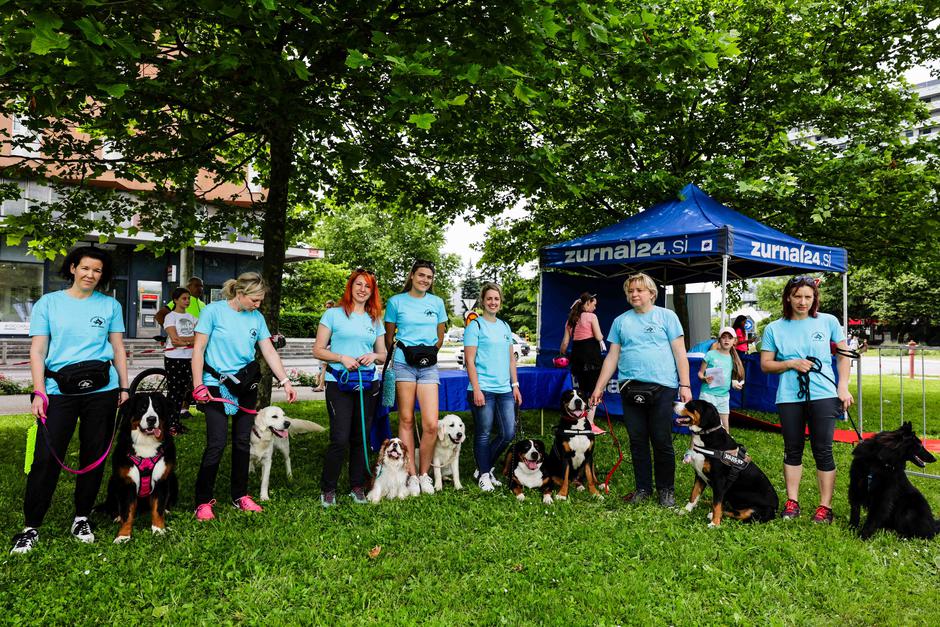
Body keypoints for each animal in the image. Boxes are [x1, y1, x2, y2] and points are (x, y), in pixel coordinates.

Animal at [98, 392, 178, 544]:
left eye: (157, 408)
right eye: (142, 408)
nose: (152, 419)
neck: (146, 444)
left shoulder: (161, 480)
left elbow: (158, 509)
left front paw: (159, 530)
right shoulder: (127, 483)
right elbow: (127, 512)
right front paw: (123, 536)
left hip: (173, 478)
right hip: (113, 481)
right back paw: (116, 516)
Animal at [676, 400, 780, 528]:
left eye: (690, 405)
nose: (673, 403)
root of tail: (776, 509)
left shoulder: (719, 481)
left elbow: (717, 504)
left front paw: (714, 523)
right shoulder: (700, 475)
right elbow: (694, 495)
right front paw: (685, 510)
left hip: (754, 510)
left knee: (736, 512)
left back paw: (712, 514)